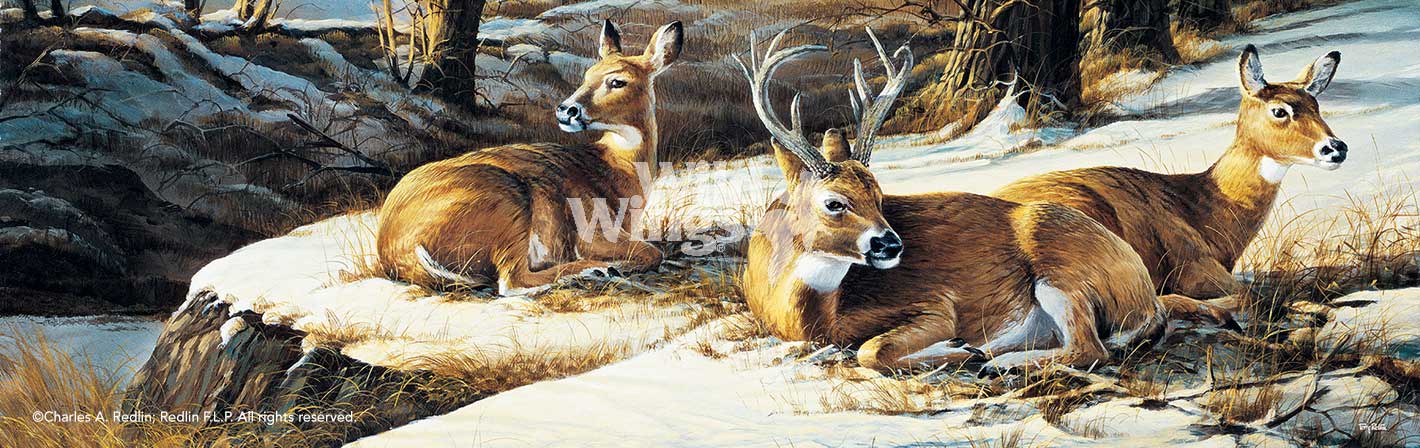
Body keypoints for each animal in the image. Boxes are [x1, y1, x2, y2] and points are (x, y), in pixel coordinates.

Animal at [377, 20, 681, 296]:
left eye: (617, 81)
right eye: (587, 75)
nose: (566, 109)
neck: (615, 167)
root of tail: (394, 246)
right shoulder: (592, 231)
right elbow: (652, 253)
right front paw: (617, 264)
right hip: (507, 202)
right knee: (512, 281)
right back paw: (596, 269)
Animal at [739, 29, 1232, 372]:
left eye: (879, 195)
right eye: (834, 203)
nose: (892, 244)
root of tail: (1143, 286)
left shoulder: (937, 304)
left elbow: (871, 351)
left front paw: (960, 349)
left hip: (1061, 267)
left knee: (1089, 349)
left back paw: (997, 361)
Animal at [994, 45, 1344, 307]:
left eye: (1316, 106)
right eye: (1279, 111)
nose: (1336, 148)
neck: (1204, 209)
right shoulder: (1194, 265)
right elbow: (1247, 295)